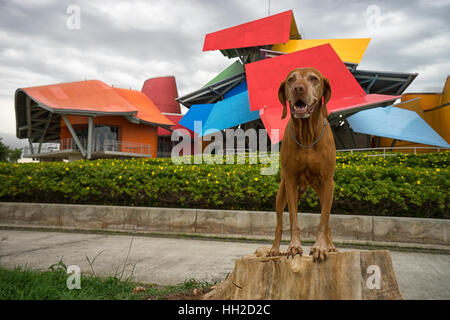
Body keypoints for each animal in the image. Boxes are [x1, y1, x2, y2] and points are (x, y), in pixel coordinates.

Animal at [268, 67, 338, 262]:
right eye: (291, 79)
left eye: (314, 78)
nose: (298, 89)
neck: (307, 134)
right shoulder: (291, 182)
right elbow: (293, 220)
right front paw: (294, 247)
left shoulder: (328, 182)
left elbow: (323, 220)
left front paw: (321, 248)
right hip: (282, 192)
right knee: (279, 223)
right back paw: (274, 249)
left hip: (323, 191)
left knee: (326, 220)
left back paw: (330, 246)